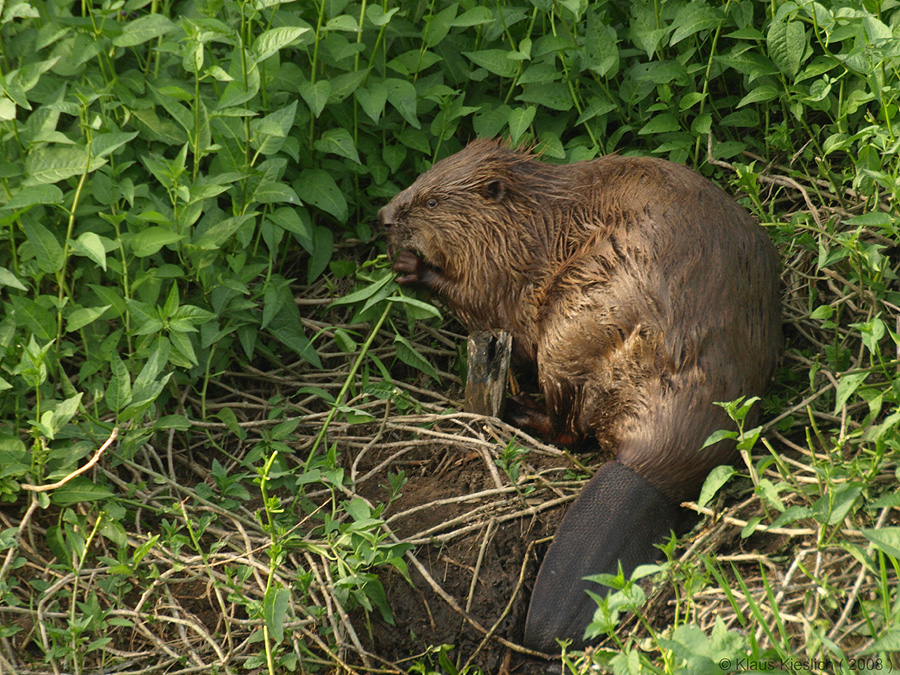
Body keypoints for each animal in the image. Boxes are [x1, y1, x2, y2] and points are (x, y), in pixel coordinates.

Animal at [376, 140, 784, 652]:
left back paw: (518, 410)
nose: (383, 216)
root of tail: (649, 467)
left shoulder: (509, 267)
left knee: (568, 427)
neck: (535, 216)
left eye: (431, 201)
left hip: (569, 328)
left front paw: (409, 267)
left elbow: (484, 300)